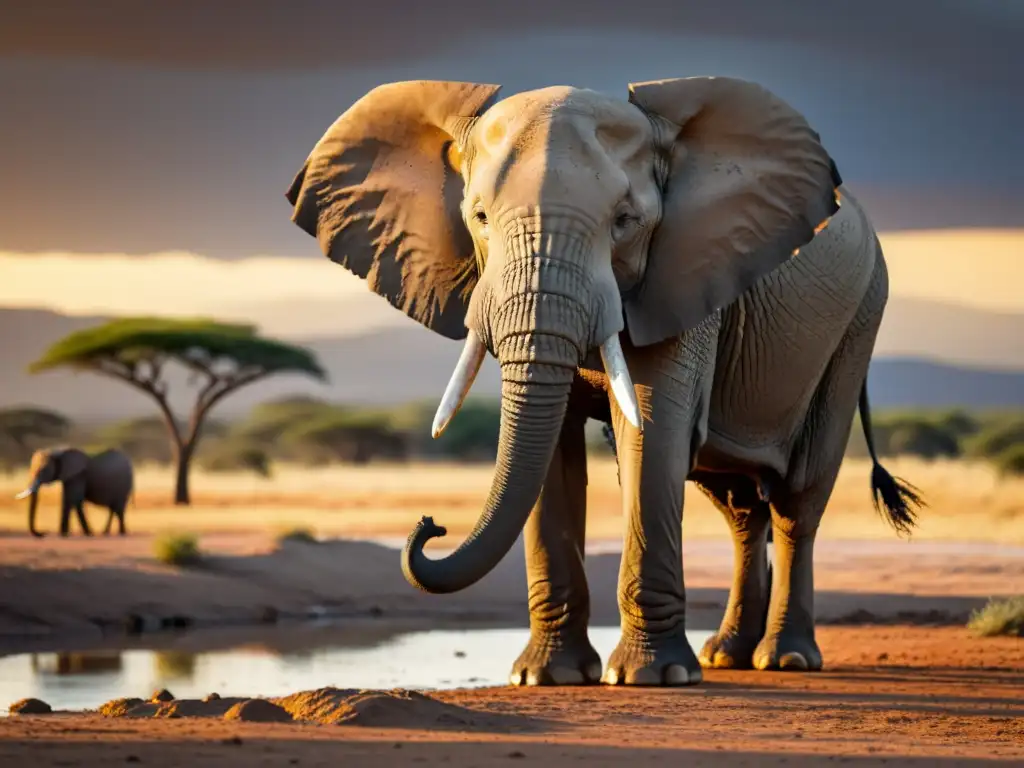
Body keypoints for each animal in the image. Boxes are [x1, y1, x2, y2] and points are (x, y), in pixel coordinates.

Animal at [284, 78, 925, 688]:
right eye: (480, 218)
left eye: (625, 222)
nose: (429, 525)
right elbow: (553, 450)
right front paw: (545, 677)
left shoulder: (681, 277)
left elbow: (653, 432)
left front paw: (655, 677)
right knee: (740, 506)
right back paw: (726, 656)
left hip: (860, 316)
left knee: (798, 497)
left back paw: (785, 660)